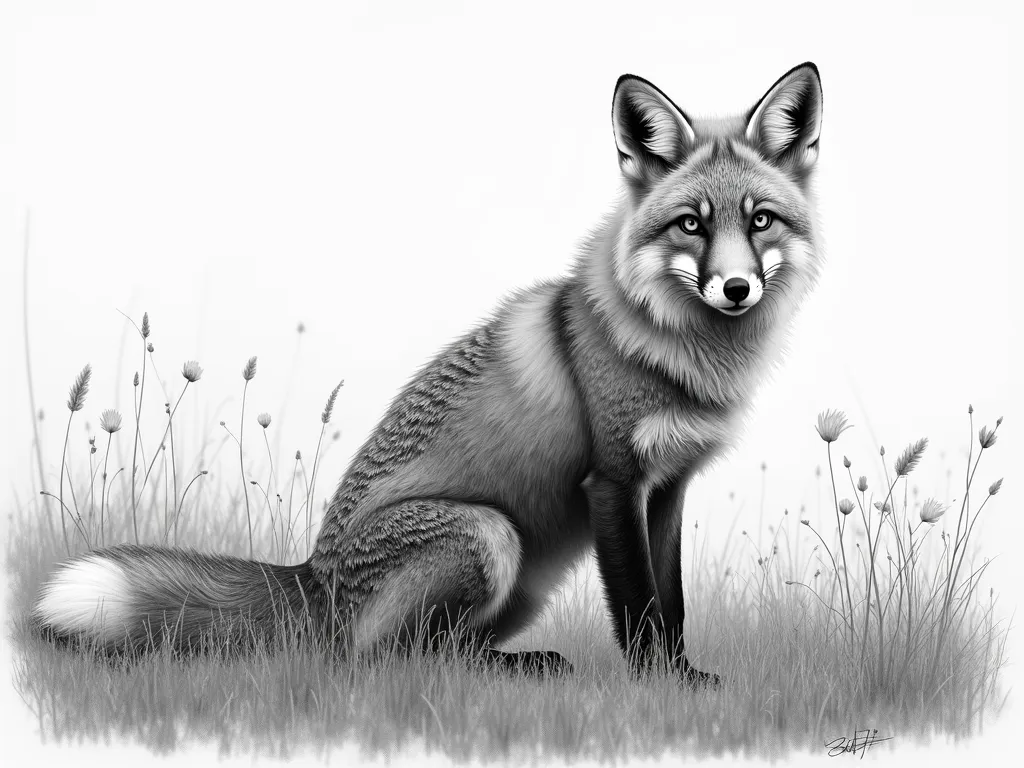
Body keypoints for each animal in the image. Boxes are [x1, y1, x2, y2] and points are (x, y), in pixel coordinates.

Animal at [35, 63, 824, 686]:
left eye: (760, 220)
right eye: (692, 224)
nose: (736, 289)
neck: (680, 352)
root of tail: (315, 575)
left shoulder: (666, 489)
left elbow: (673, 603)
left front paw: (684, 676)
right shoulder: (613, 481)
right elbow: (638, 606)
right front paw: (658, 687)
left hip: (525, 578)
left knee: (440, 650)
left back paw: (522, 663)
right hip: (489, 535)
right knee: (386, 660)